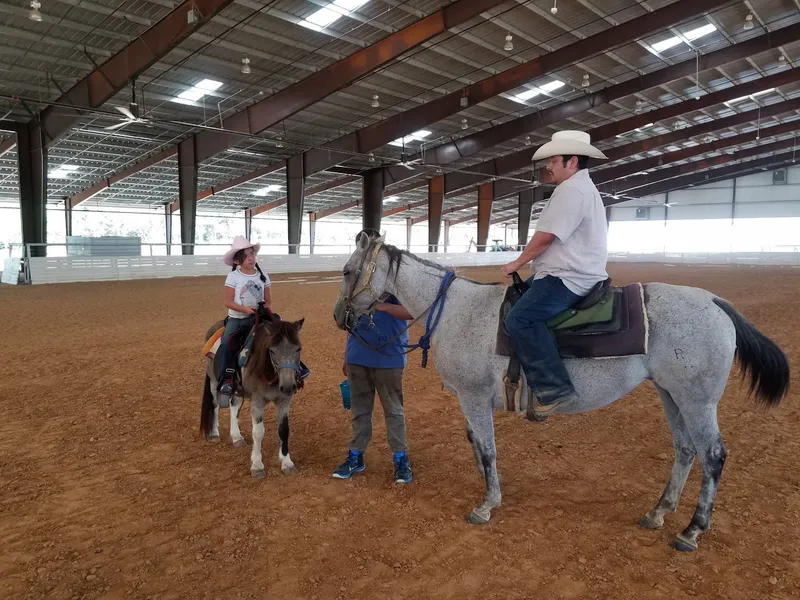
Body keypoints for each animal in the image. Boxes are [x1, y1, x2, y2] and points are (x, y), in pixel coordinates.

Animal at [202, 318, 304, 478]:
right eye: (272, 350)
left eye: (298, 348)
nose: (288, 386)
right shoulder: (257, 401)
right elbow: (258, 432)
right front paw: (257, 466)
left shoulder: (284, 401)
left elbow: (284, 430)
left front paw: (287, 463)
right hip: (213, 381)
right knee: (215, 405)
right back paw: (214, 434)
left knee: (233, 406)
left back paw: (237, 437)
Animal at [332, 236, 788, 552]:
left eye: (348, 271)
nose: (339, 317)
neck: (455, 310)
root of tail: (714, 301)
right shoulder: (470, 400)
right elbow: (477, 444)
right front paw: (489, 489)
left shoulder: (473, 397)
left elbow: (486, 449)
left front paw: (487, 502)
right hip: (670, 393)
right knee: (685, 449)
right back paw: (659, 511)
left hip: (697, 400)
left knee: (712, 456)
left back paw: (692, 530)